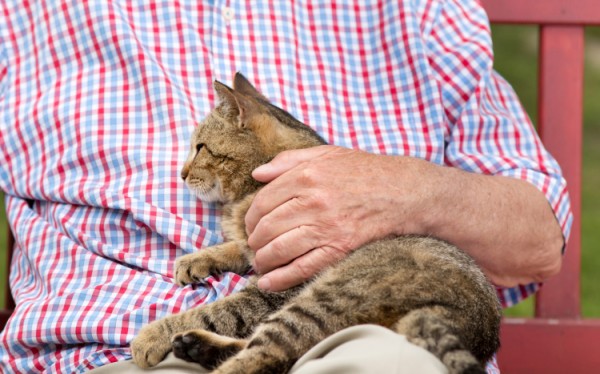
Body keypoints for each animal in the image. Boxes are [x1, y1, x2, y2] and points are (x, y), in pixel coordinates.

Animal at [131, 71, 502, 372]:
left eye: (200, 147)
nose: (181, 174)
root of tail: (478, 324)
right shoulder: (262, 247)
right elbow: (236, 247)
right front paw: (197, 260)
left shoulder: (279, 285)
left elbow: (218, 311)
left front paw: (152, 334)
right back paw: (195, 346)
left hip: (322, 299)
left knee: (263, 357)